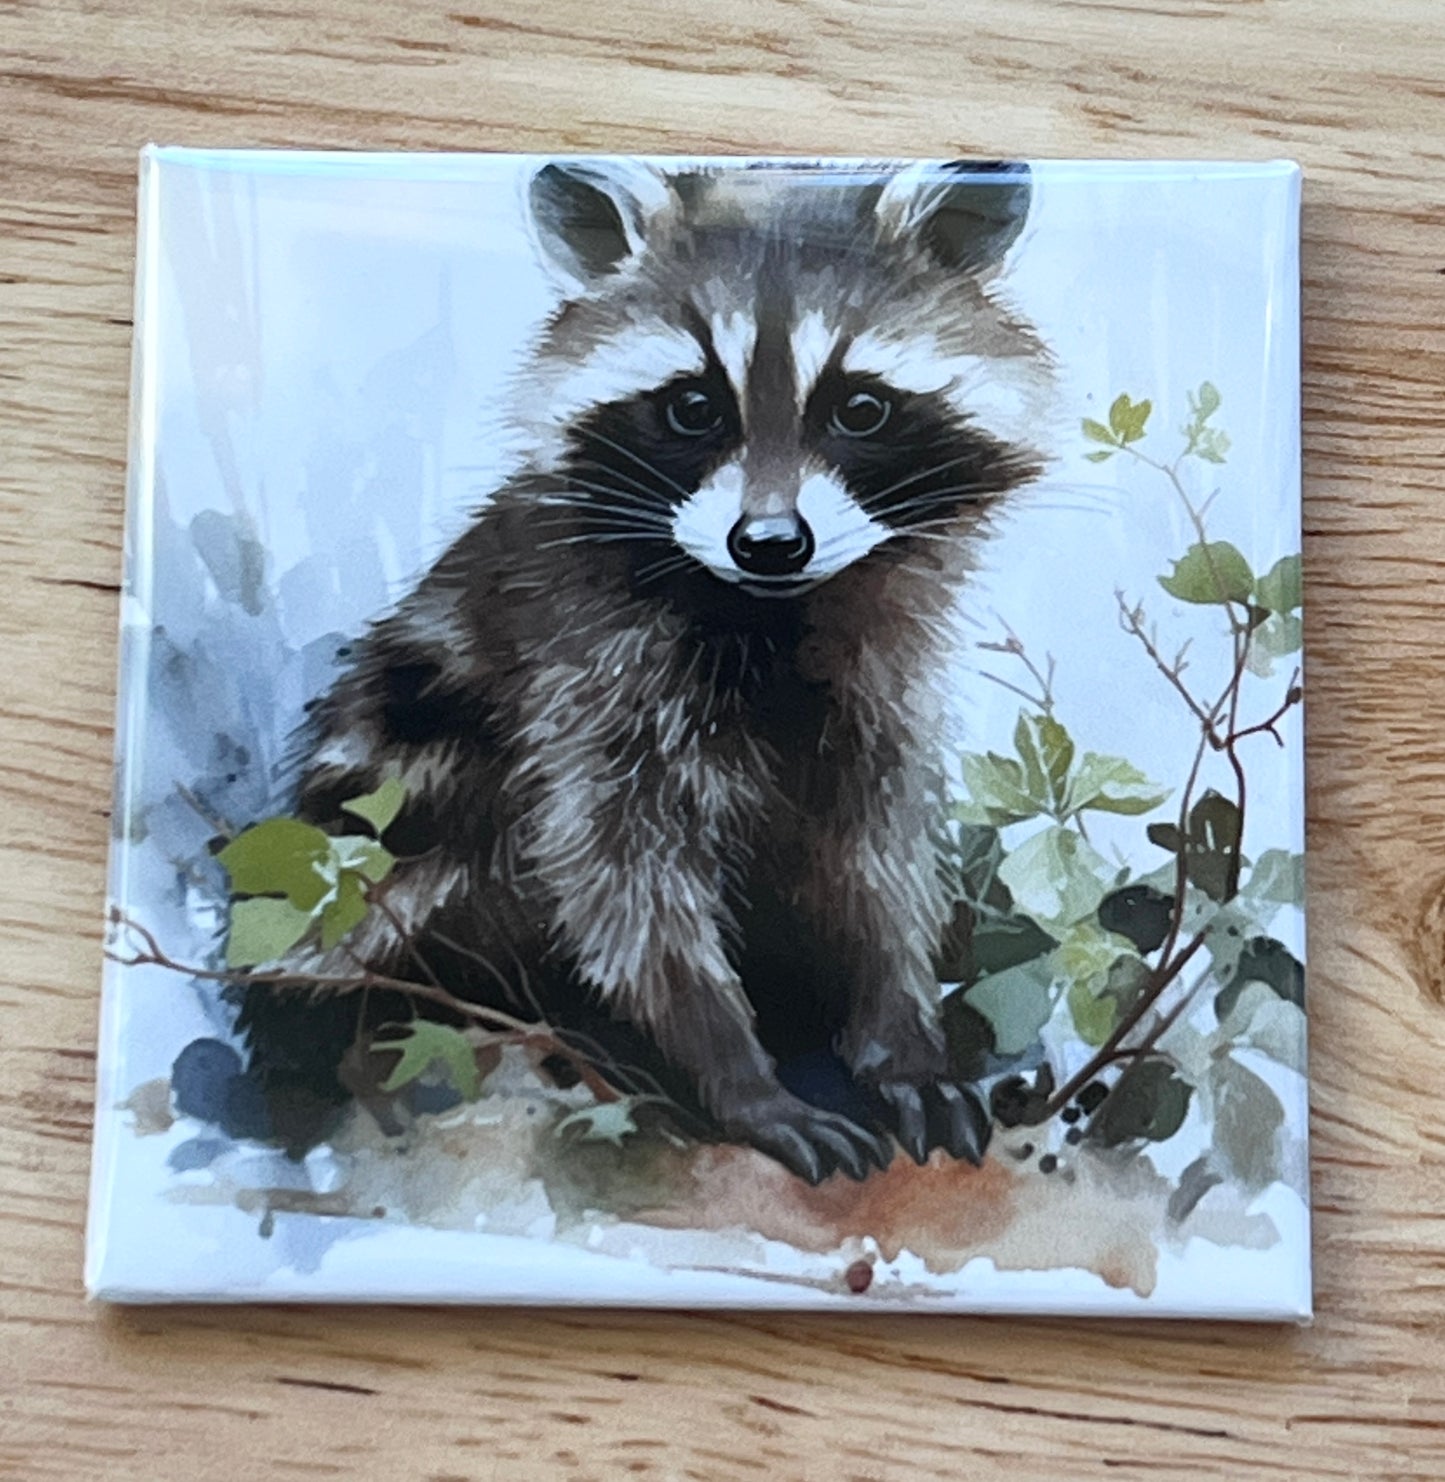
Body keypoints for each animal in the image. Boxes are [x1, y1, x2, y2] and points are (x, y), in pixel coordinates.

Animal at [236, 157, 1053, 1184]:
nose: (770, 543)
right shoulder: (584, 668)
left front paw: (899, 1034)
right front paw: (734, 1074)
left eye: (861, 408)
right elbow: (620, 877)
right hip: (400, 860)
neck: (767, 611)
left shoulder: (887, 674)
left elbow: (877, 857)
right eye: (693, 407)